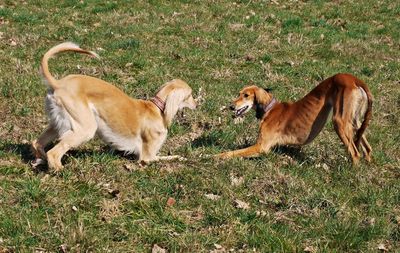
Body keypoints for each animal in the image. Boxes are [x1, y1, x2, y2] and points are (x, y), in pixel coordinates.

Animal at [30, 42, 196, 171]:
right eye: (190, 95)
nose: (197, 104)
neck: (157, 109)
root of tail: (58, 83)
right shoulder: (147, 157)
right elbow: (169, 156)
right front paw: (182, 158)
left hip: (57, 123)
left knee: (37, 143)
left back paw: (40, 160)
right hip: (85, 128)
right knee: (54, 153)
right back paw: (59, 170)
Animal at [217, 73, 374, 164]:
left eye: (246, 95)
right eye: (239, 93)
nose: (231, 106)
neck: (270, 109)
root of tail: (354, 79)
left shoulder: (261, 147)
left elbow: (232, 152)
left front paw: (215, 156)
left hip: (339, 121)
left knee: (355, 153)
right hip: (354, 121)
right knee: (367, 147)